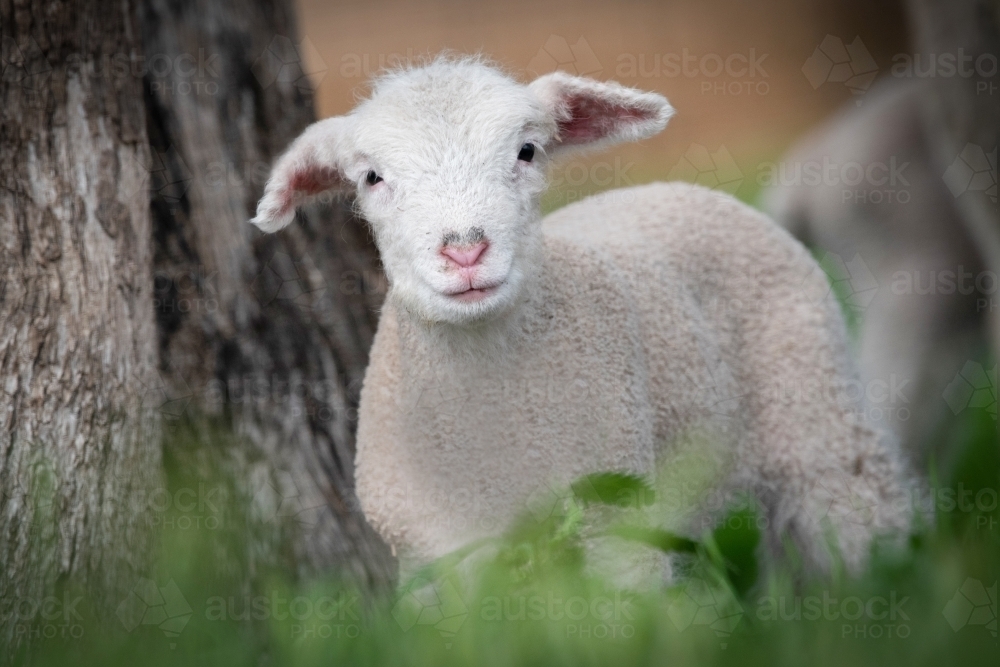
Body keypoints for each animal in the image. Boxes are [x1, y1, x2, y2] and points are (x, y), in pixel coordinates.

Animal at [250, 54, 916, 580]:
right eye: (371, 177)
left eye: (527, 151)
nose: (465, 251)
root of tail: (680, 188)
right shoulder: (436, 560)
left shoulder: (615, 524)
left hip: (821, 424)